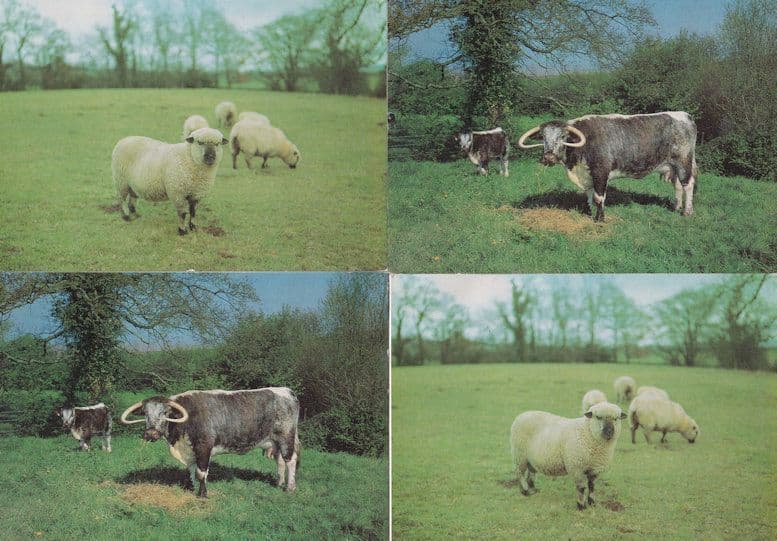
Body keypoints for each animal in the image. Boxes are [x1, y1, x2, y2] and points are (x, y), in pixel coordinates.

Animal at [120, 387, 300, 498]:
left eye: (166, 412)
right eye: (145, 413)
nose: (151, 433)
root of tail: (287, 391)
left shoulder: (203, 447)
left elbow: (201, 473)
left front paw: (202, 495)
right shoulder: (191, 452)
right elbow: (193, 473)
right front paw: (194, 490)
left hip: (286, 437)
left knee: (290, 460)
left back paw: (290, 488)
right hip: (275, 442)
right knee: (280, 461)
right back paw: (279, 483)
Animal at [517, 112, 698, 221]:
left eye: (563, 136)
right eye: (543, 137)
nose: (548, 157)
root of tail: (685, 115)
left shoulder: (600, 173)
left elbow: (599, 198)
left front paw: (600, 219)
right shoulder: (588, 177)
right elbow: (590, 198)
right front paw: (592, 216)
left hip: (684, 162)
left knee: (687, 184)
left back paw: (687, 212)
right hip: (673, 166)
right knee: (677, 185)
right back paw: (676, 207)